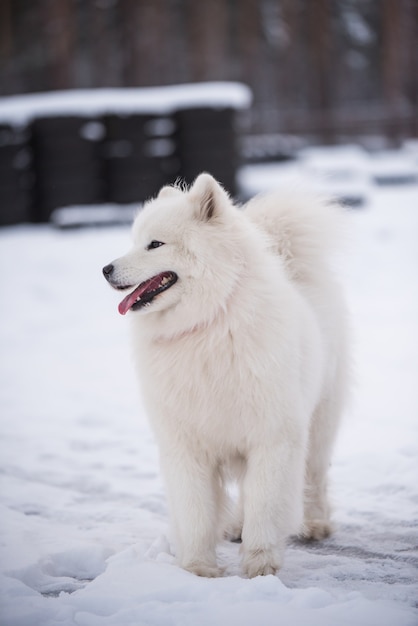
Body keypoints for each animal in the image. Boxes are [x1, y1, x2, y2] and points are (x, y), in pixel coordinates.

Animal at [102, 171, 350, 576]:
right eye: (135, 241)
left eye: (155, 244)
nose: (105, 269)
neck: (209, 321)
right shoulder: (186, 444)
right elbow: (196, 512)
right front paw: (198, 569)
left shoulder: (273, 437)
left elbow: (266, 505)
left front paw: (261, 565)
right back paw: (235, 526)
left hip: (319, 422)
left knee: (313, 477)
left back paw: (314, 523)